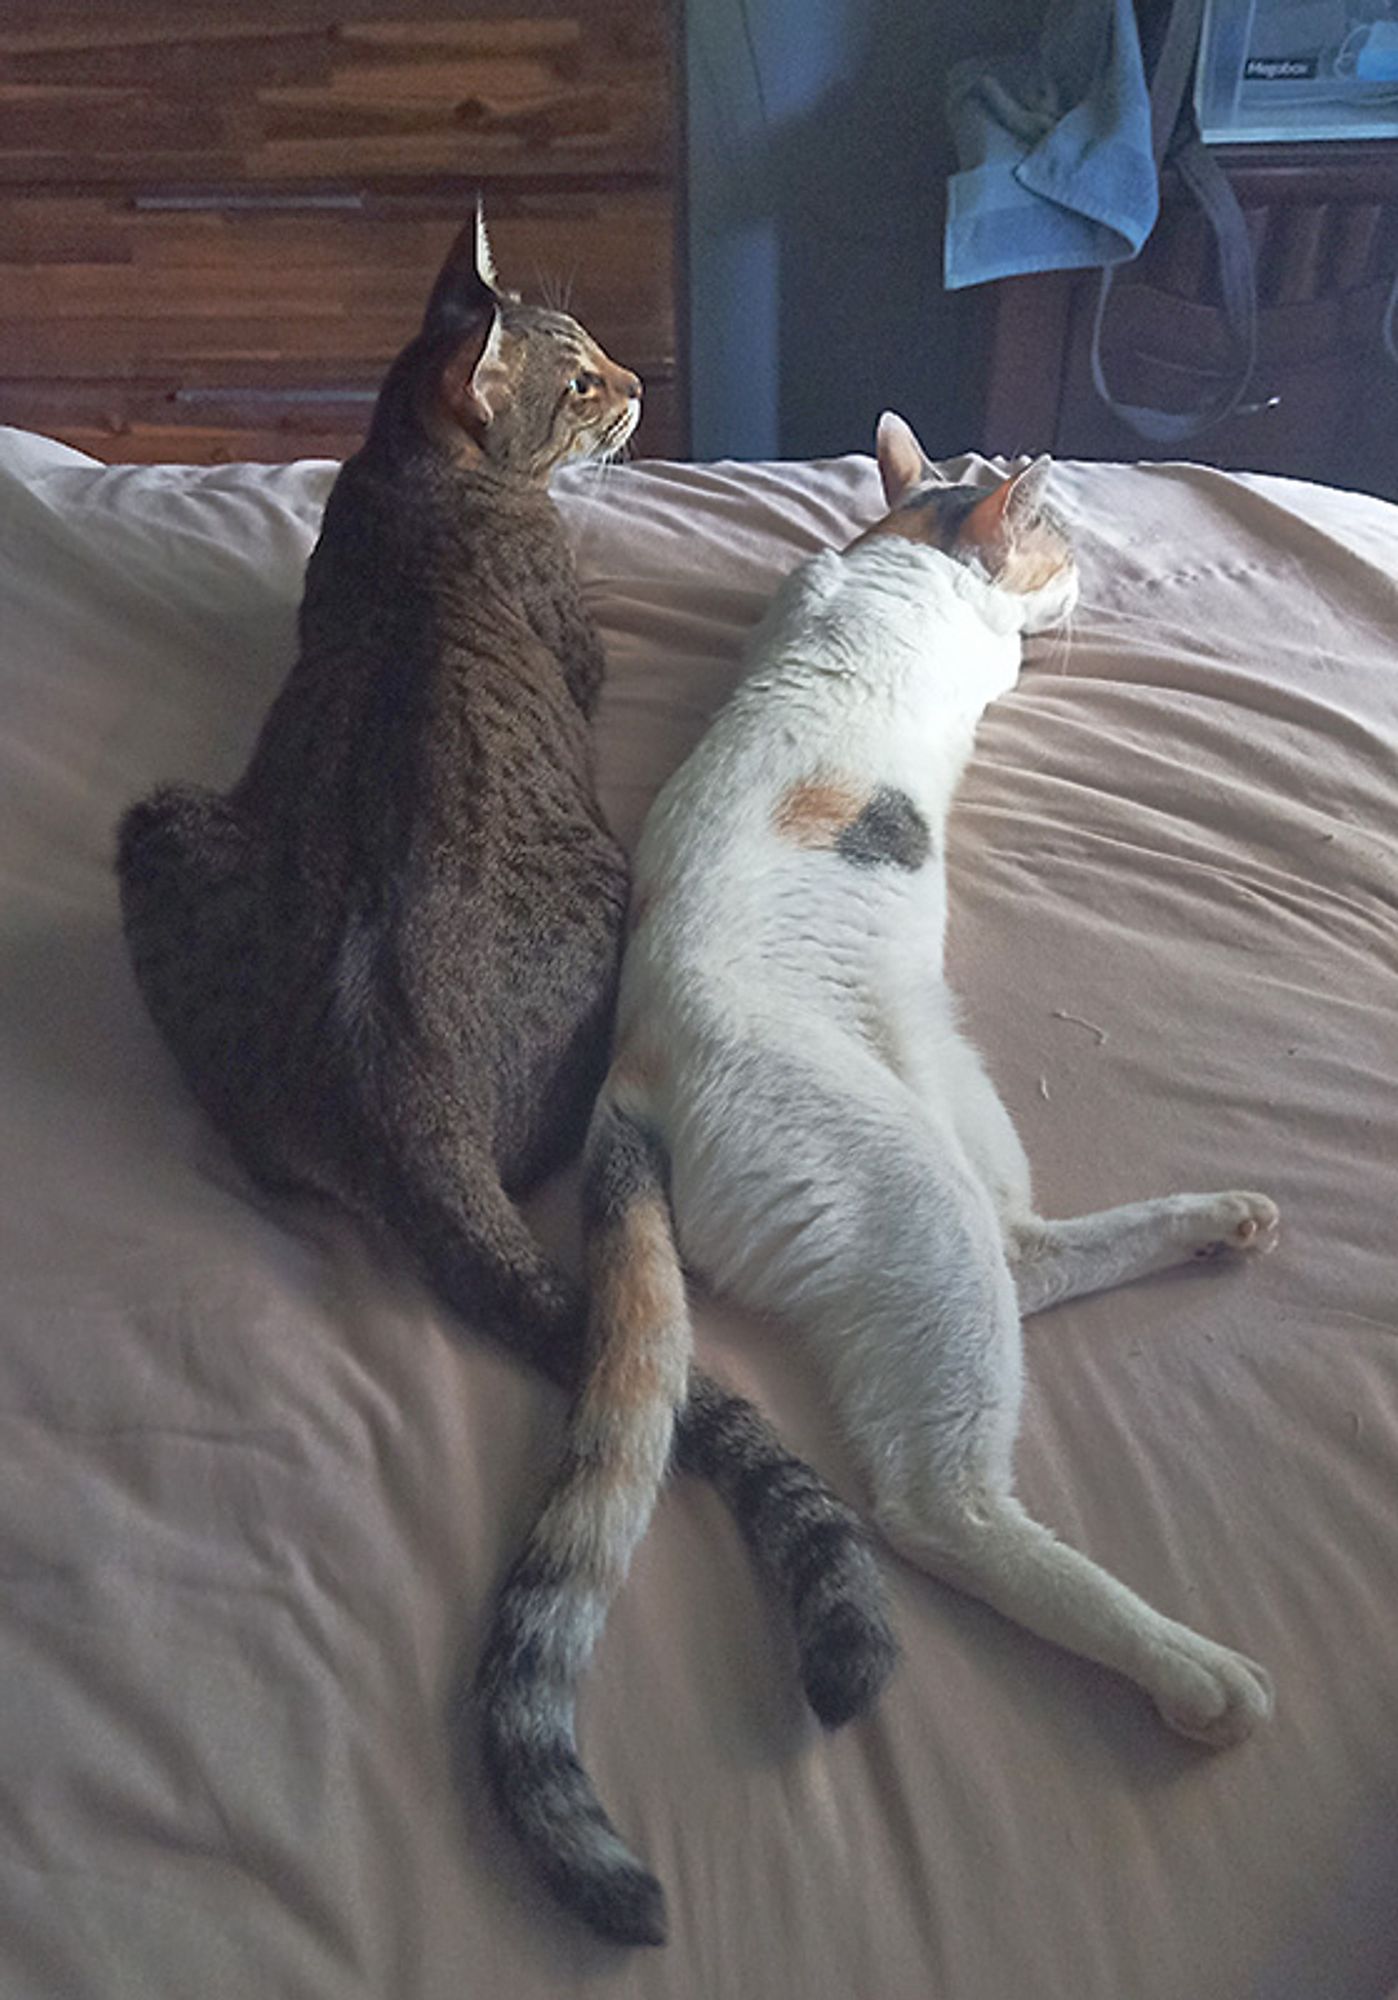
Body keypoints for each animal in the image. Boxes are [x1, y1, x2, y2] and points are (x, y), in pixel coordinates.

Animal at [117, 219, 896, 1936]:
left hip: (162, 828)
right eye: (586, 380)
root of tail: (390, 1073)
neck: (421, 469)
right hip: (613, 891)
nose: (643, 383)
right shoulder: (578, 631)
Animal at [478, 414, 1280, 1944]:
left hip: (963, 1116)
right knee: (934, 1497)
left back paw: (1222, 1222)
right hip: (911, 1198)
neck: (897, 555)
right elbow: (1008, 646)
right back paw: (1187, 1671)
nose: (1092, 575)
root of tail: (629, 1083)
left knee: (1031, 1258)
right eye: (1064, 544)